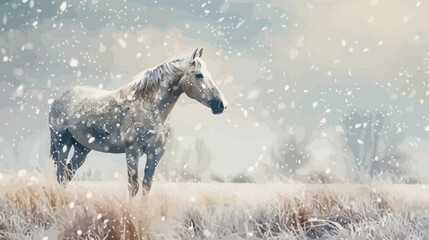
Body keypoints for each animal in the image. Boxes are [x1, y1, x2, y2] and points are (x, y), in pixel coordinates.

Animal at [48, 47, 226, 196]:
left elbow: (147, 185)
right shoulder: (133, 151)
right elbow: (133, 186)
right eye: (199, 75)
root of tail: (60, 98)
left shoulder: (156, 153)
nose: (221, 104)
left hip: (82, 148)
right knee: (61, 174)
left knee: (67, 175)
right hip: (62, 142)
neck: (150, 108)